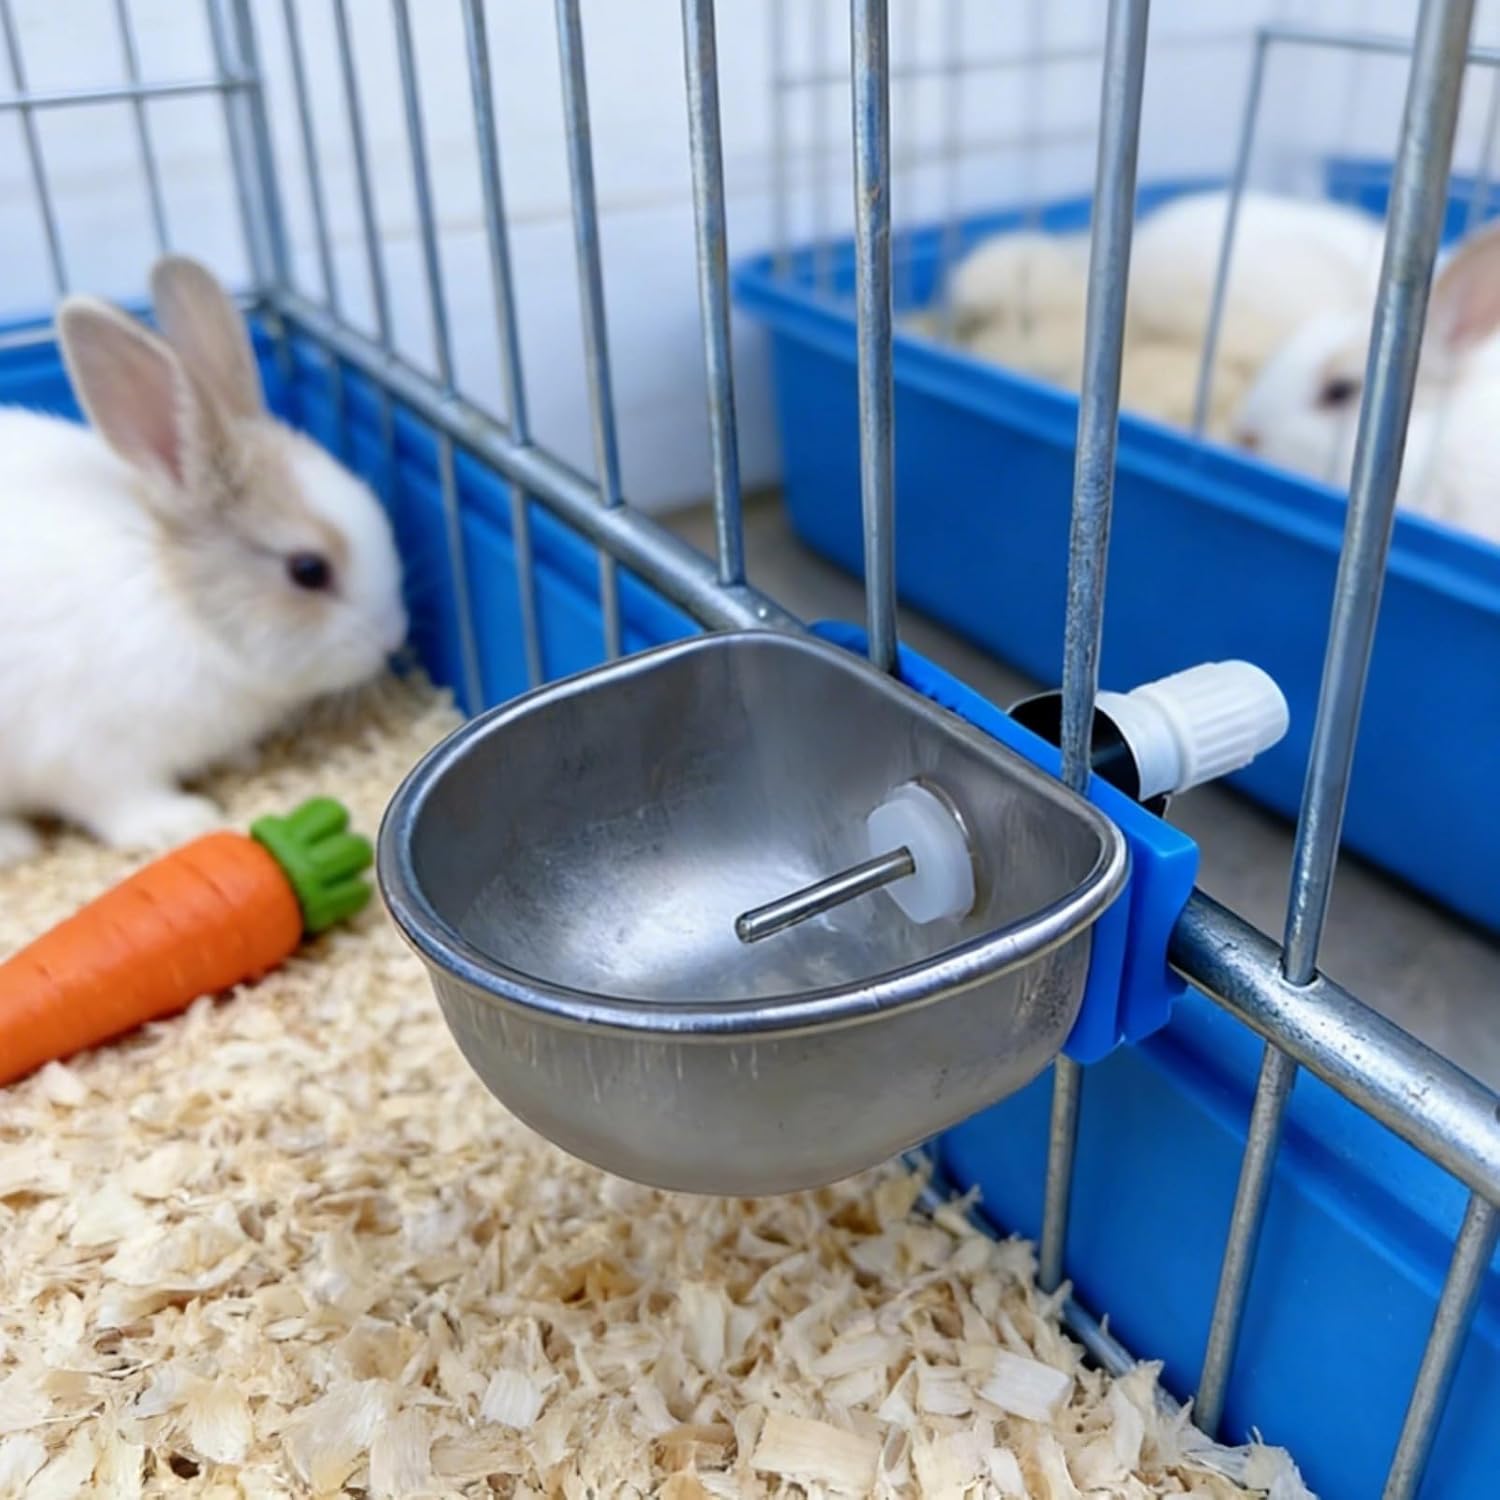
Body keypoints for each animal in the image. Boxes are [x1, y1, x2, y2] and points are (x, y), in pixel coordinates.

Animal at [0, 255, 408, 866]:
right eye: (308, 570)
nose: (391, 640)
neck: (186, 603)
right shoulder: (91, 751)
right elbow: (118, 801)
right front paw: (180, 822)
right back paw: (15, 844)